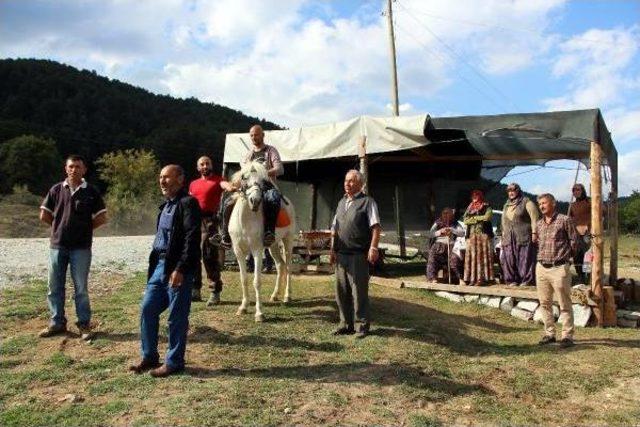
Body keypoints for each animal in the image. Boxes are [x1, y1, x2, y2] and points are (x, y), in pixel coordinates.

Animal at [228, 162, 298, 322]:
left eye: (263, 180)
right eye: (244, 177)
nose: (255, 201)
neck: (246, 220)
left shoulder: (257, 251)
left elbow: (257, 281)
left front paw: (259, 313)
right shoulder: (238, 251)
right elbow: (244, 279)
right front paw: (243, 307)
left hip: (288, 241)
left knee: (289, 266)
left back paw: (287, 296)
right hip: (273, 245)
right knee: (280, 265)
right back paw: (274, 296)